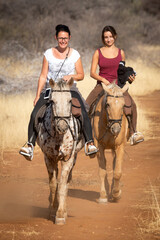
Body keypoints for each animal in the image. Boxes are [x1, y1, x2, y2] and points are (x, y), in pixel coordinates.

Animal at [36, 78, 84, 225]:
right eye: (52, 101)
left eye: (70, 100)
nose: (62, 126)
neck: (59, 136)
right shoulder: (48, 158)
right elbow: (53, 184)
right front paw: (53, 210)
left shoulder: (68, 158)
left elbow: (62, 184)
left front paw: (61, 214)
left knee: (67, 181)